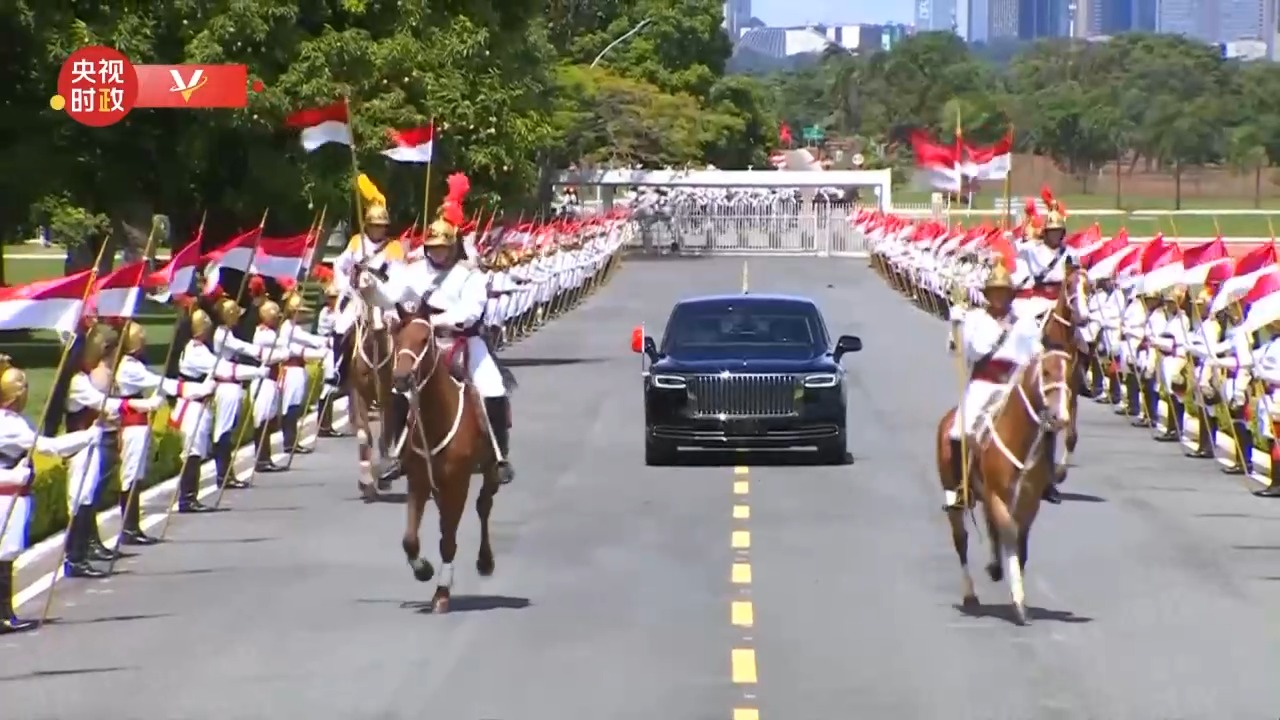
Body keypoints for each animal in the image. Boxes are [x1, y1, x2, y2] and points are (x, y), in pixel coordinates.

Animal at [389, 302, 499, 609]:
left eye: (424, 339)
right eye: (397, 339)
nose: (401, 379)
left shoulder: (458, 482)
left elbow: (448, 540)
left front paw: (441, 591)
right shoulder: (418, 480)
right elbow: (410, 539)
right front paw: (423, 569)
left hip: (489, 471)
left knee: (484, 506)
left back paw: (485, 561)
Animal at [936, 348, 1075, 622]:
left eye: (1070, 374)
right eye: (1046, 372)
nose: (1061, 417)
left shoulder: (1028, 503)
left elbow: (1019, 542)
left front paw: (1013, 584)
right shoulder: (997, 496)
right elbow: (1009, 534)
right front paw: (1018, 599)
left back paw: (995, 567)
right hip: (956, 496)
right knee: (961, 540)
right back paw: (971, 595)